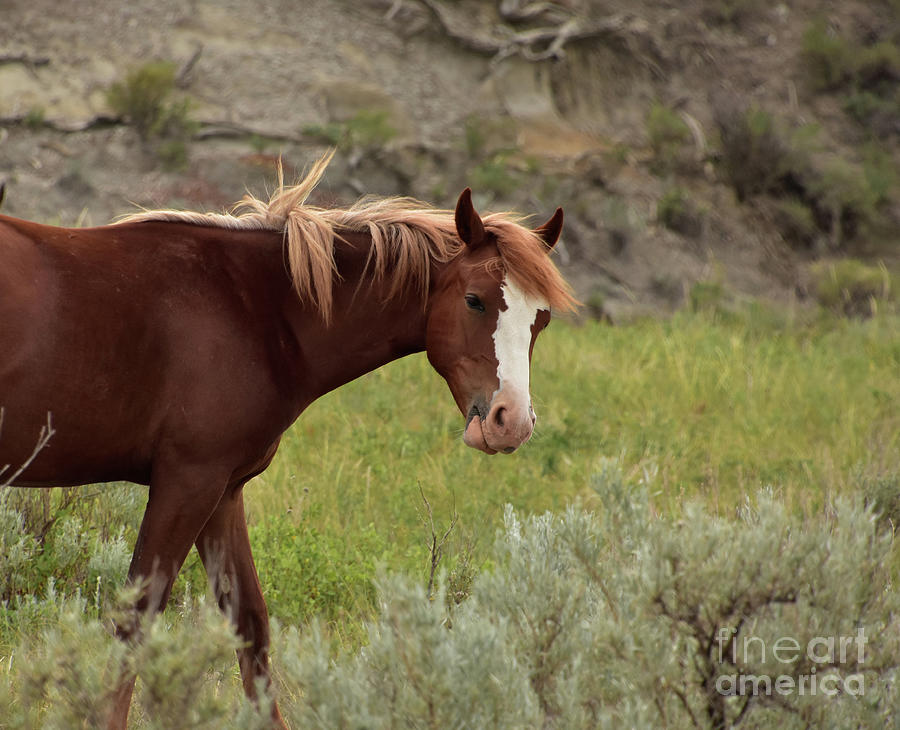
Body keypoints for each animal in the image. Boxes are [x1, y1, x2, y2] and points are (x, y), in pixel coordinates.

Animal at [0, 151, 576, 724]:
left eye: (541, 320)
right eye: (476, 301)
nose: (511, 421)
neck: (253, 309)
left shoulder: (223, 492)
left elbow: (249, 625)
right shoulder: (187, 482)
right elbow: (135, 622)